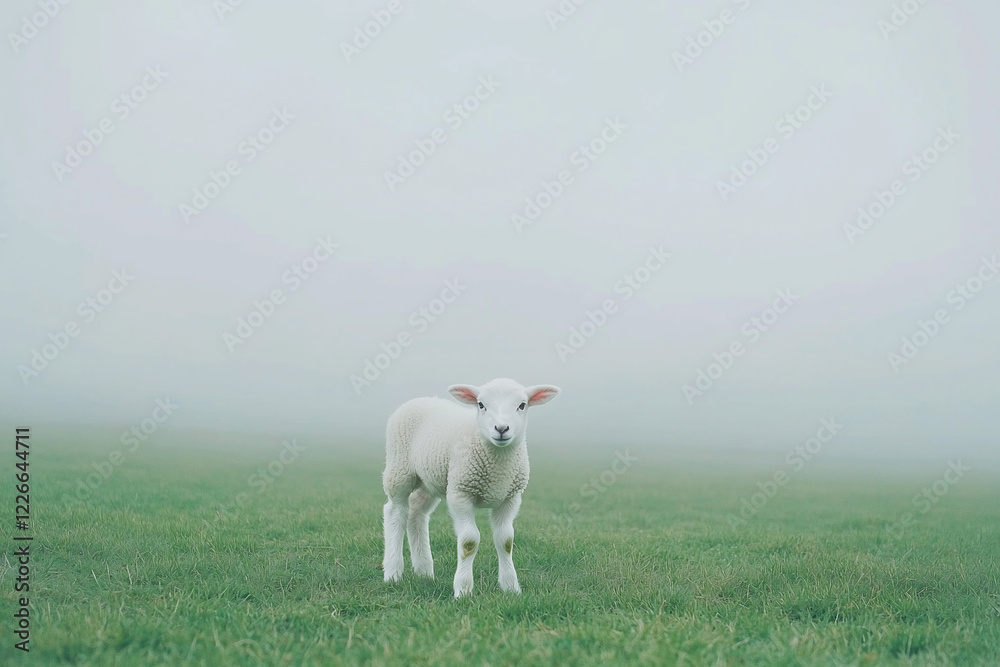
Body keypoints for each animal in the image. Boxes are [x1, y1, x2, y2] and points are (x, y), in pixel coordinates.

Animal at [381, 378, 560, 597]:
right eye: (481, 405)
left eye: (522, 405)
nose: (501, 428)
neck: (498, 469)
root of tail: (419, 399)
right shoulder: (461, 493)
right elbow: (469, 542)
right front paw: (463, 590)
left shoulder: (510, 497)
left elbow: (506, 541)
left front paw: (510, 587)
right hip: (400, 469)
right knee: (395, 512)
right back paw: (393, 573)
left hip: (431, 479)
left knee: (417, 512)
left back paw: (424, 571)